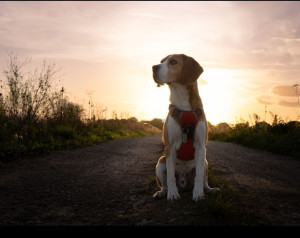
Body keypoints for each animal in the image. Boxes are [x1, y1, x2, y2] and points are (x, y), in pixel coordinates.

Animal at [152, 54, 218, 201]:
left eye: (173, 62)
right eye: (161, 61)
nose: (153, 67)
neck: (182, 102)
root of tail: (183, 182)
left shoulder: (201, 146)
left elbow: (199, 176)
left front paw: (198, 194)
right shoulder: (169, 147)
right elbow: (170, 176)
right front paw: (172, 194)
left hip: (205, 162)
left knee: (204, 180)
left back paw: (209, 190)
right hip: (160, 163)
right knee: (164, 184)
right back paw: (163, 192)